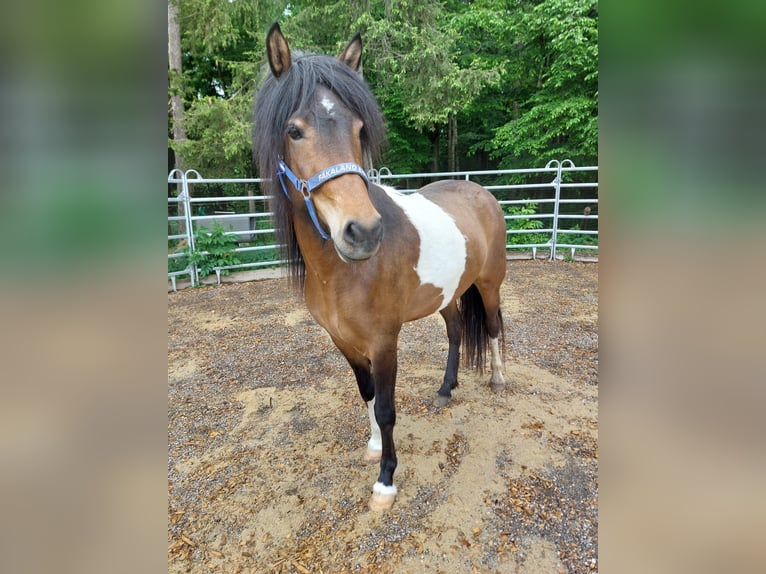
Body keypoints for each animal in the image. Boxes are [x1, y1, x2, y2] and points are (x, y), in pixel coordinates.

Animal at [253, 23, 507, 512]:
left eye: (358, 128)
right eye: (294, 131)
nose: (364, 233)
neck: (341, 272)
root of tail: (482, 192)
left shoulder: (384, 340)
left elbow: (388, 407)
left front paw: (386, 480)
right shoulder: (345, 341)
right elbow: (367, 394)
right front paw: (372, 448)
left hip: (489, 285)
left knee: (492, 327)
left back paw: (500, 381)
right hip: (447, 293)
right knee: (454, 332)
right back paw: (446, 389)